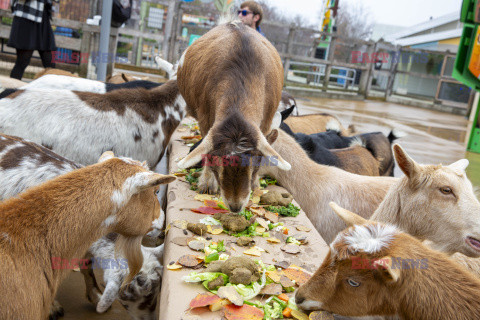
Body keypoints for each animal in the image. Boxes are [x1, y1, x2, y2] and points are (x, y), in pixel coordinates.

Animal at [0, 132, 170, 318]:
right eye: (126, 298)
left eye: (157, 291)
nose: (161, 228)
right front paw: (53, 308)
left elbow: (87, 265)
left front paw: (95, 295)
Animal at [175, 19, 288, 212]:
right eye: (216, 159)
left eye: (256, 159)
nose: (235, 206)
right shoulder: (205, 116)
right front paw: (207, 183)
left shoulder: (265, 120)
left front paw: (255, 184)